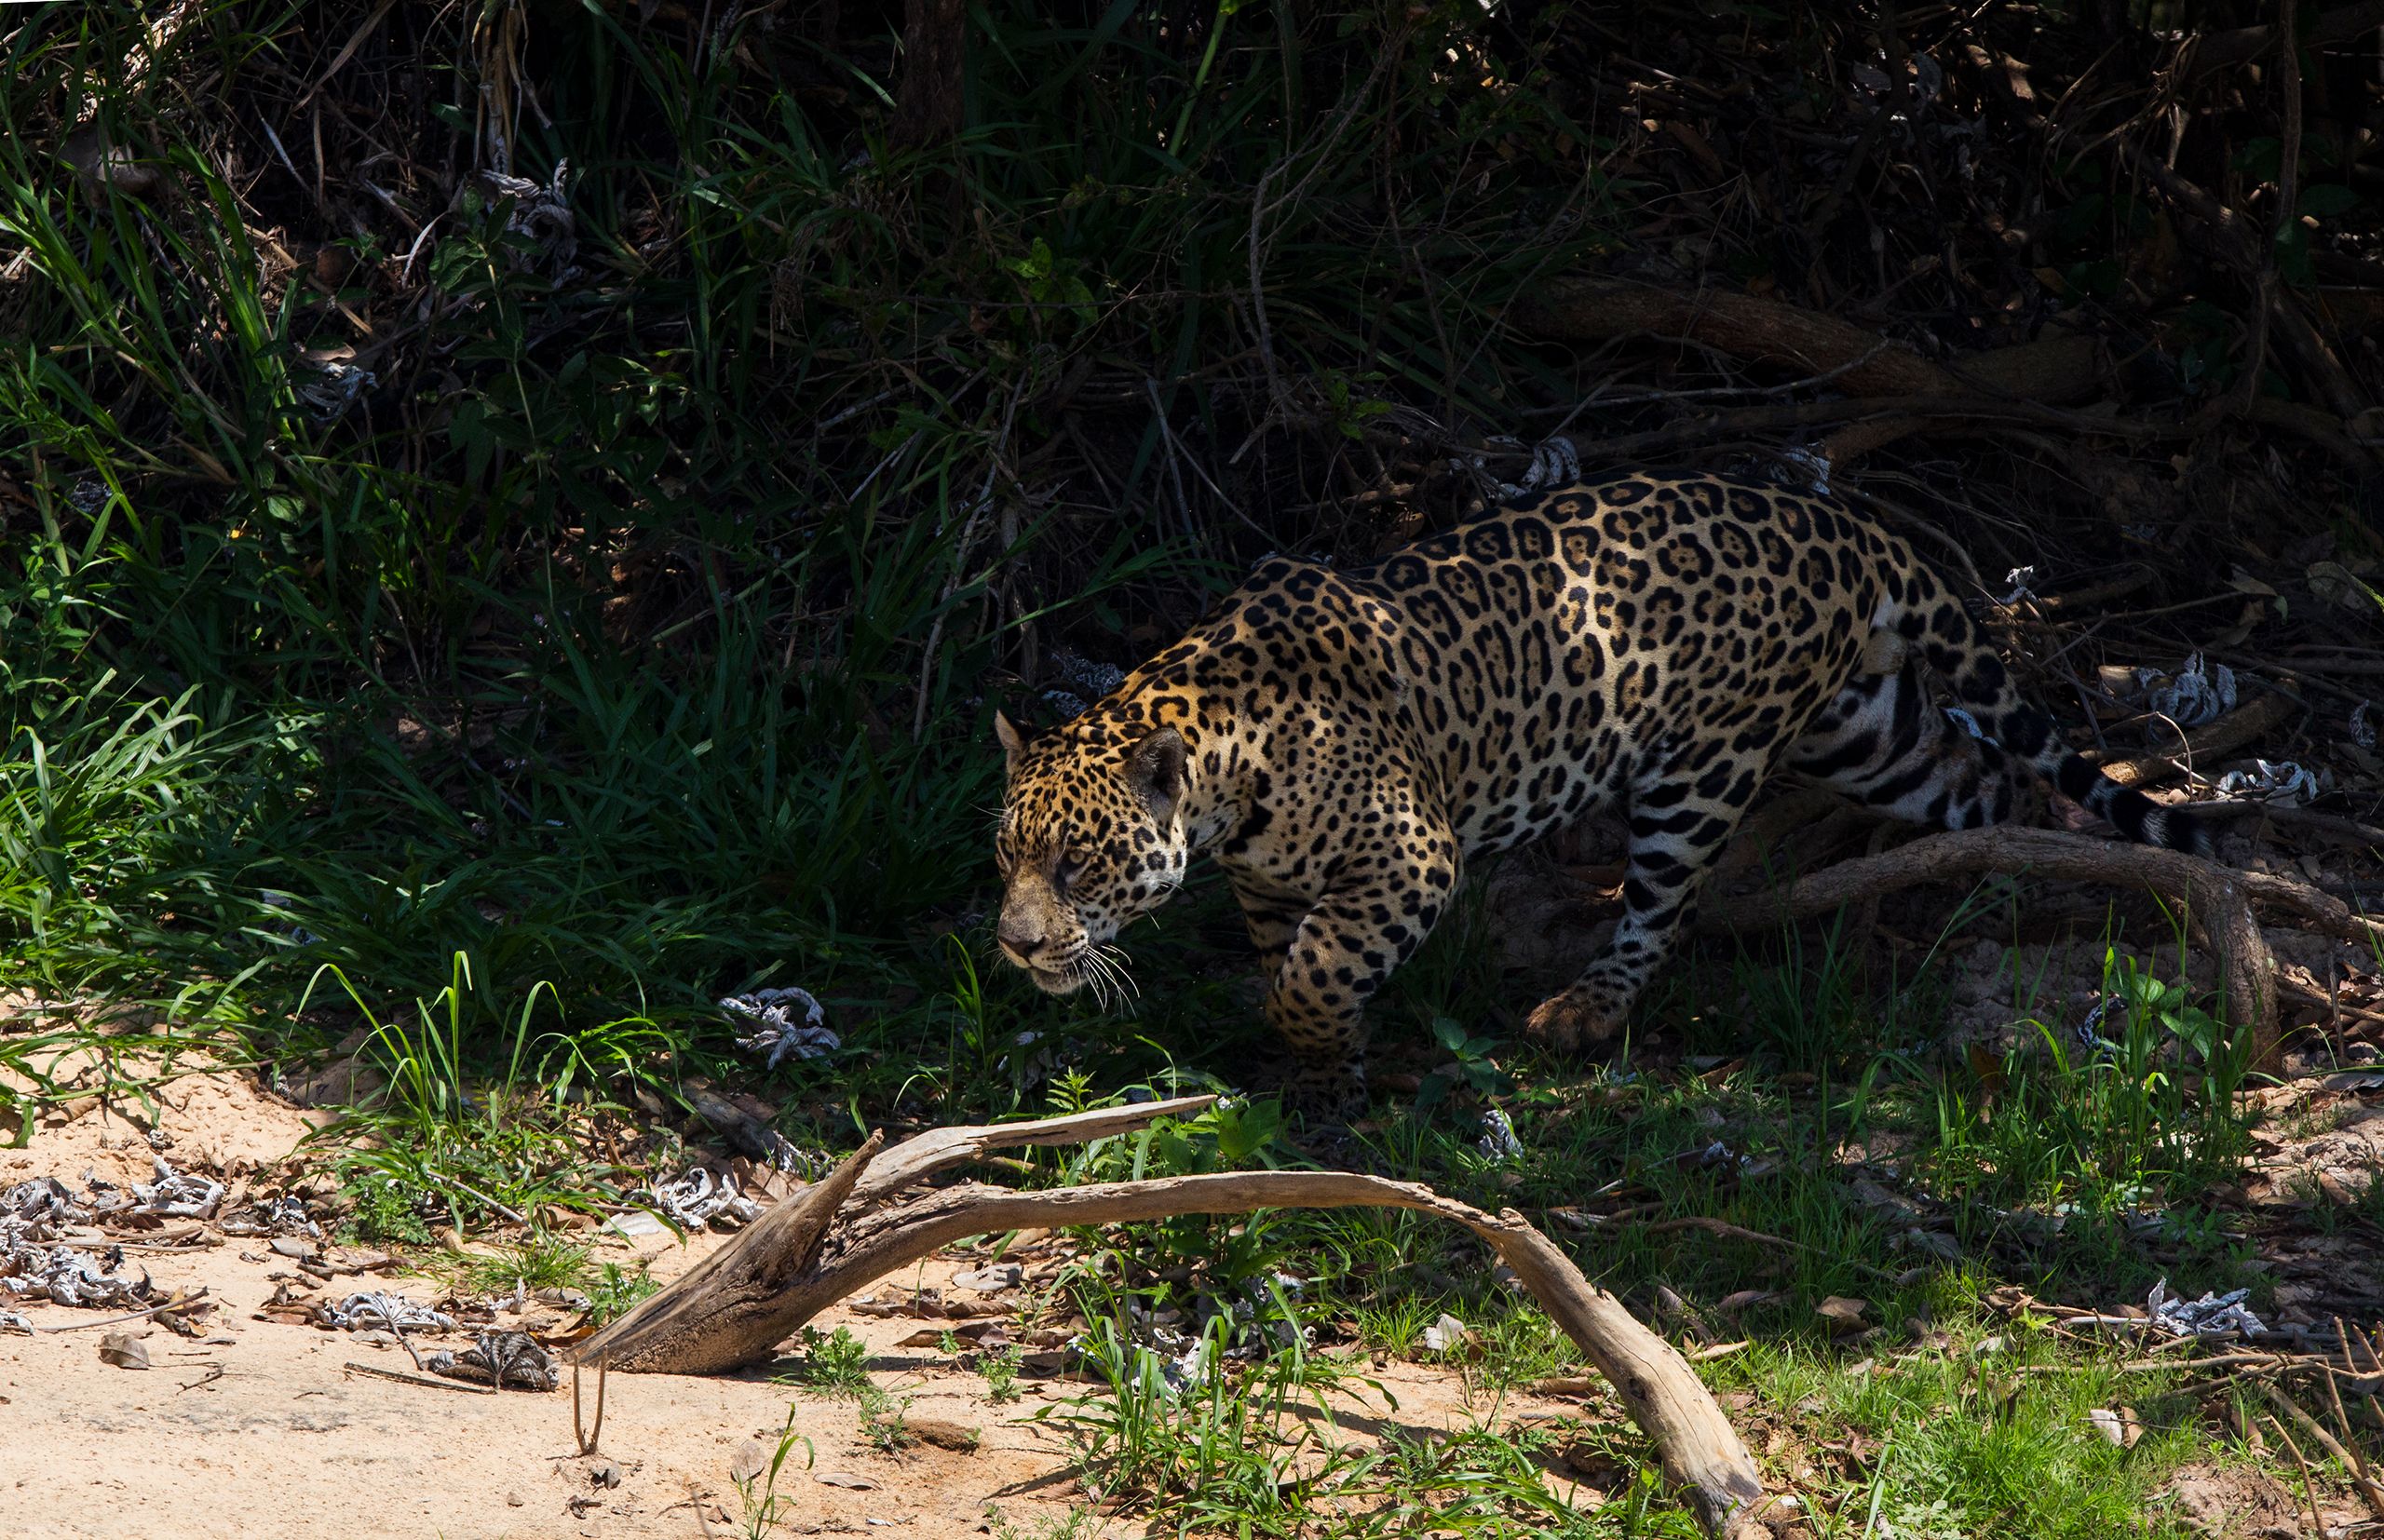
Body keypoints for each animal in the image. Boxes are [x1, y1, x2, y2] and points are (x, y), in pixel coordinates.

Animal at [989, 471, 2216, 1109]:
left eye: (1078, 862)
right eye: (1006, 855)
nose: (1013, 942)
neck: (1222, 765)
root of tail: (1846, 523)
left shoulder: (1408, 857)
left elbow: (1311, 972)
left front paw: (1325, 1047)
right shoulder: (1270, 882)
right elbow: (1290, 964)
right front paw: (1321, 1069)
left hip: (1702, 767)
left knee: (1661, 910)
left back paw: (1582, 1009)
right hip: (1865, 731)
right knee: (1985, 780)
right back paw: (2024, 883)